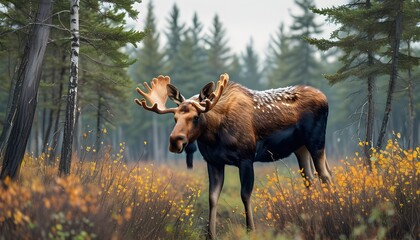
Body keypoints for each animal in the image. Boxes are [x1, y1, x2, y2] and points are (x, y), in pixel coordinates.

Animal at [135, 73, 332, 238]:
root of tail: (325, 97)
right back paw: (310, 216)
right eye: (175, 118)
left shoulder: (246, 158)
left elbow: (245, 194)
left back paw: (327, 213)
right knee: (309, 179)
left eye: (196, 116)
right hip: (300, 148)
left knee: (325, 176)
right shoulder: (213, 162)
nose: (175, 141)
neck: (214, 135)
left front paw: (250, 230)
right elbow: (212, 197)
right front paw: (210, 235)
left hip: (316, 141)